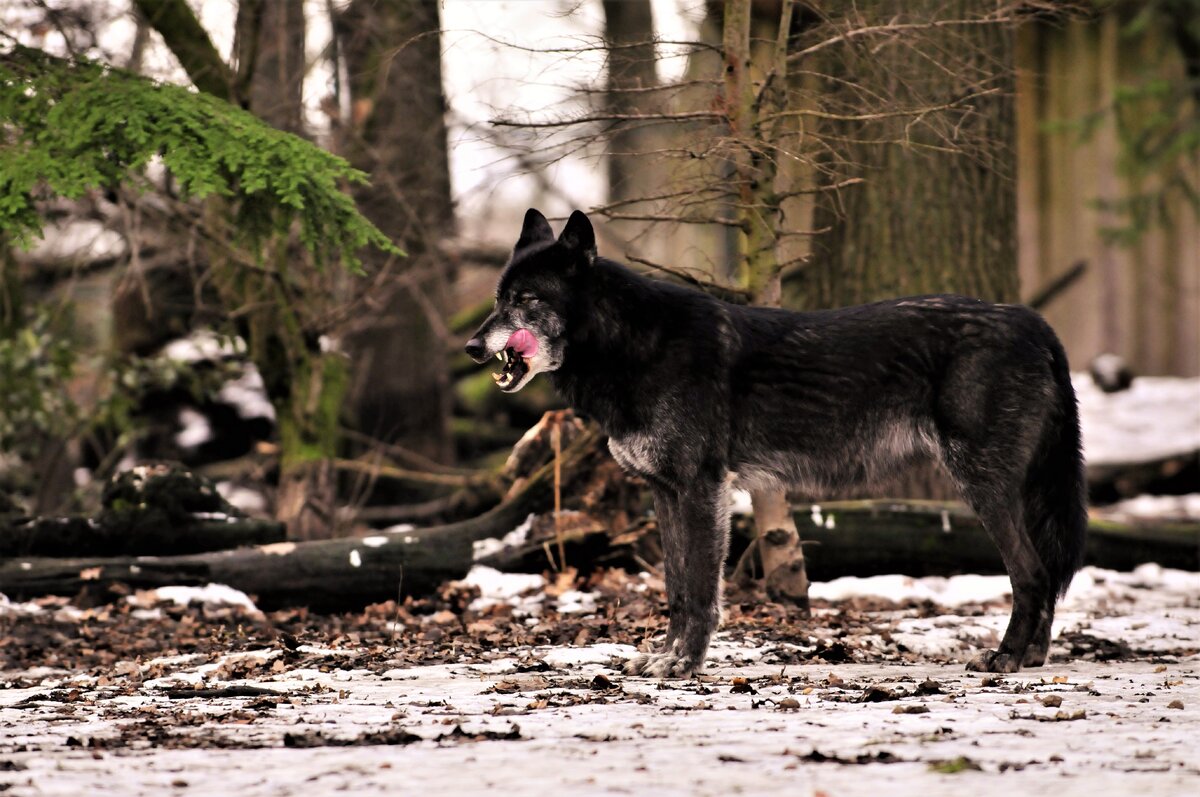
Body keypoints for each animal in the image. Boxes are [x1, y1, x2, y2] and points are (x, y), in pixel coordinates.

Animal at [465, 208, 1089, 676]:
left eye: (527, 300)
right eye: (496, 299)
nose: (471, 347)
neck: (634, 346)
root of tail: (1036, 323)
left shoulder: (702, 490)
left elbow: (701, 591)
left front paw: (684, 665)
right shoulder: (665, 494)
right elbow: (676, 589)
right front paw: (664, 658)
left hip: (982, 486)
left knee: (1032, 572)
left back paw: (1005, 658)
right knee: (1046, 570)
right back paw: (1033, 657)